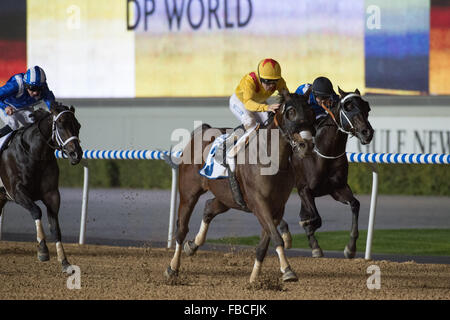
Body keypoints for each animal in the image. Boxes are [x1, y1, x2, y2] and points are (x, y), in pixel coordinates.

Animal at [0, 102, 82, 272]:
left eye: (78, 125)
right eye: (60, 124)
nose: (76, 154)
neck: (35, 154)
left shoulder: (52, 195)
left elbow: (56, 228)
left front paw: (64, 262)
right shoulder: (17, 192)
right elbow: (36, 211)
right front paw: (43, 250)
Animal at [163, 90, 314, 282]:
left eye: (310, 110)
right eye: (291, 112)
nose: (306, 145)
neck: (271, 160)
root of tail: (202, 131)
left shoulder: (277, 207)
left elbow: (265, 243)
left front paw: (254, 279)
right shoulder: (259, 203)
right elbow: (276, 237)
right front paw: (287, 270)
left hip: (227, 197)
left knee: (209, 208)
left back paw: (193, 245)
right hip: (188, 194)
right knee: (182, 228)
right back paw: (173, 267)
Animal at [280, 89, 374, 258]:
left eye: (367, 107)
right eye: (348, 107)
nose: (367, 133)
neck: (324, 153)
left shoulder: (337, 189)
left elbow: (355, 204)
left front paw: (350, 248)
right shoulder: (304, 189)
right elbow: (315, 218)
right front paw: (309, 230)